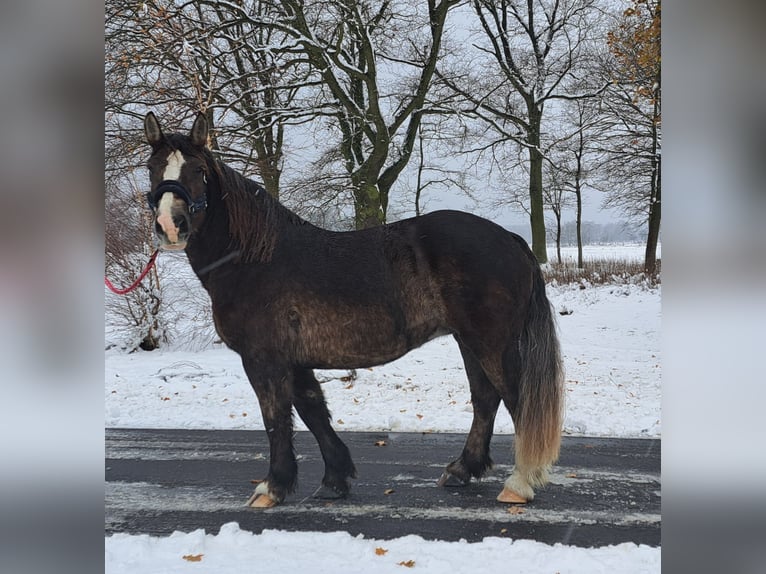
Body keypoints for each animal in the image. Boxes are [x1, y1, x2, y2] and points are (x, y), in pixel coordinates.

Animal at [142, 111, 564, 508]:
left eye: (198, 170)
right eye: (152, 168)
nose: (170, 225)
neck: (254, 259)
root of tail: (510, 238)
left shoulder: (264, 358)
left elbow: (275, 418)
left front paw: (272, 486)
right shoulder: (295, 360)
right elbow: (313, 411)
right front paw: (335, 479)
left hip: (490, 342)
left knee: (516, 400)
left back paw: (519, 484)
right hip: (469, 340)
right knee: (486, 399)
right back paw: (463, 469)